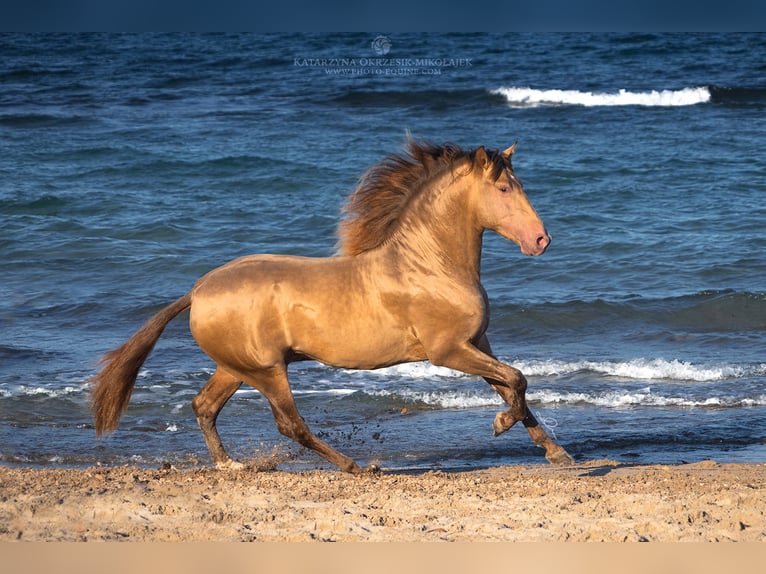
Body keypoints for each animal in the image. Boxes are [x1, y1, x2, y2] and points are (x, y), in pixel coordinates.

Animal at [91, 140, 576, 472]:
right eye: (503, 188)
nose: (541, 240)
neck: (430, 266)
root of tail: (197, 291)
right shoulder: (448, 351)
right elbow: (518, 380)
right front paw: (499, 424)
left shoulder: (478, 342)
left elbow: (513, 387)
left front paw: (557, 452)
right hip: (267, 371)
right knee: (289, 424)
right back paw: (355, 466)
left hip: (234, 368)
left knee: (204, 407)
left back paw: (230, 465)